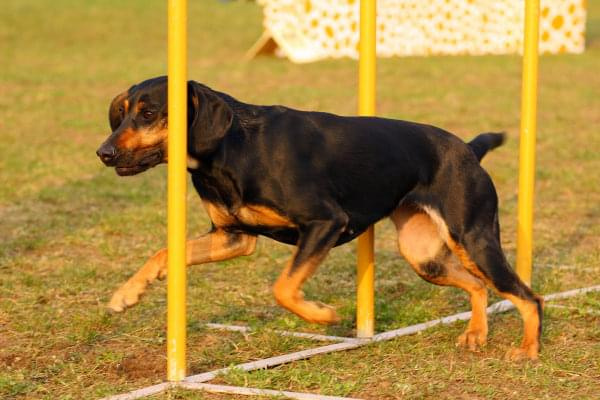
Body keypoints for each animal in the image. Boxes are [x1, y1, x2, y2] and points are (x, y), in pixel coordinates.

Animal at [97, 76, 544, 360]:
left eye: (149, 113)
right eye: (122, 113)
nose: (103, 152)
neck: (232, 145)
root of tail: (467, 150)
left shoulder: (325, 222)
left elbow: (283, 287)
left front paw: (322, 315)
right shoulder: (233, 236)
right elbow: (163, 252)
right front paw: (126, 294)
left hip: (474, 239)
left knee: (528, 296)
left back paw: (528, 351)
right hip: (424, 257)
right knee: (479, 286)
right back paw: (476, 334)